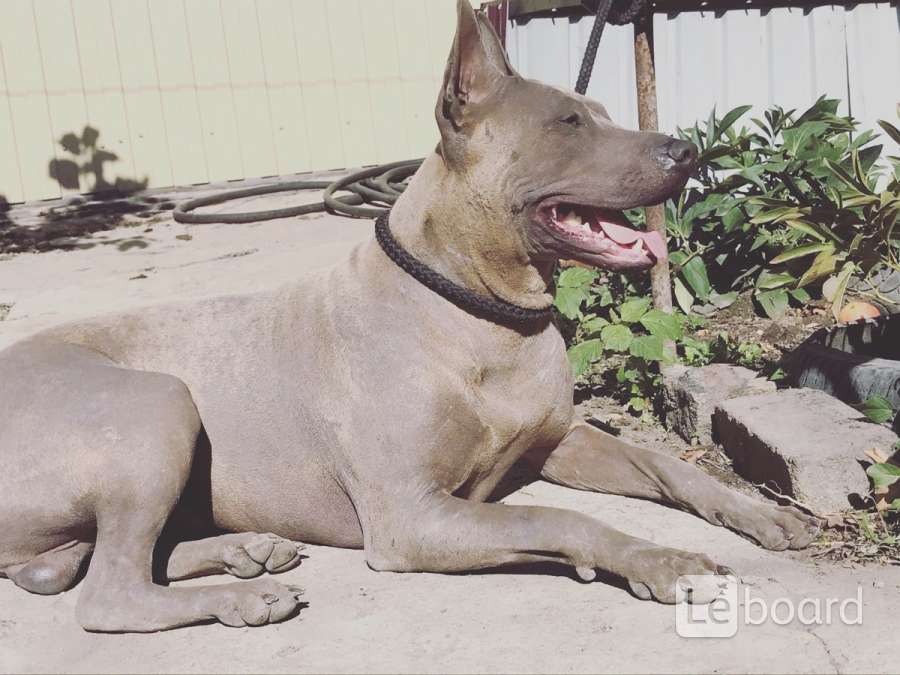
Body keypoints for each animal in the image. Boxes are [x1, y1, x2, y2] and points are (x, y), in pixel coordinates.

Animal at [0, 0, 820, 632]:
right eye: (567, 123)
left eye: (605, 115)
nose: (686, 150)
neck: (479, 313)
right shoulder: (412, 516)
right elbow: (552, 518)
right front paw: (659, 559)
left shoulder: (558, 441)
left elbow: (666, 465)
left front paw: (758, 513)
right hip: (157, 406)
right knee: (109, 592)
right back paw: (242, 596)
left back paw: (246, 552)